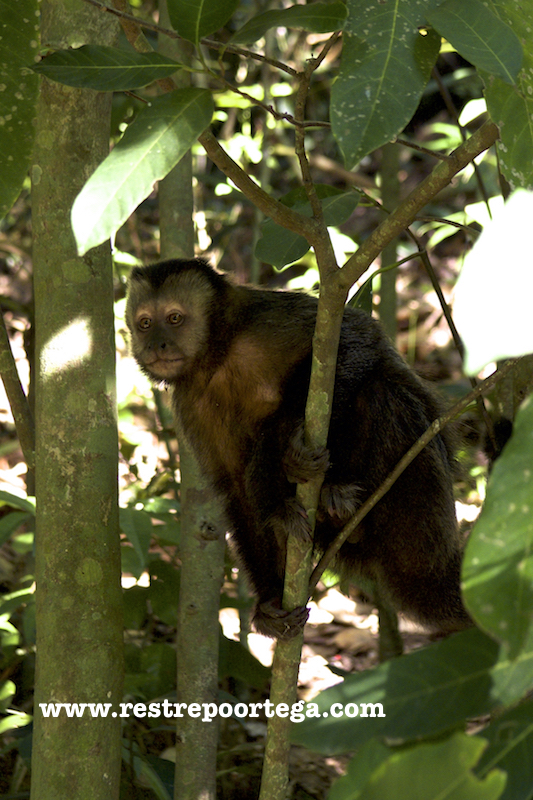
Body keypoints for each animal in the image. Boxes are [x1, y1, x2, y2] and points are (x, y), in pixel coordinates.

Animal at [126, 257, 472, 639]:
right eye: (145, 324)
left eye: (174, 318)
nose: (156, 345)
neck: (219, 355)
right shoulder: (190, 404)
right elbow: (236, 488)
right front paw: (269, 596)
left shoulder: (267, 319)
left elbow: (355, 340)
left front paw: (279, 447)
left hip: (423, 509)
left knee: (380, 392)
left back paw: (335, 493)